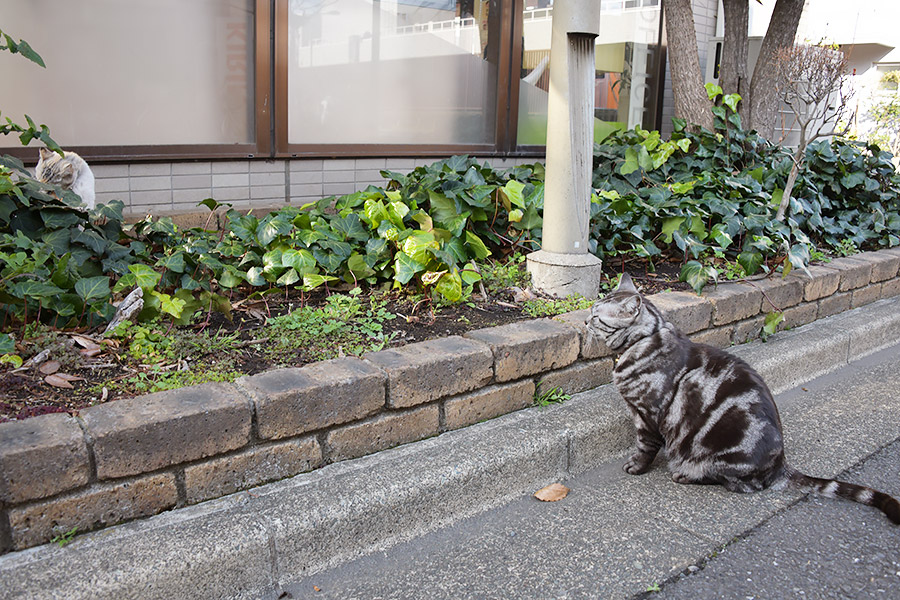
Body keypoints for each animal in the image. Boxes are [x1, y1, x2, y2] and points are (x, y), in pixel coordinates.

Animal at [588, 274, 896, 524]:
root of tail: (779, 464)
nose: (584, 320)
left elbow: (645, 446)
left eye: (595, 317)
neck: (645, 340)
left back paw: (686, 474)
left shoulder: (646, 413)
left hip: (722, 457)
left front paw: (636, 466)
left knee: (735, 483)